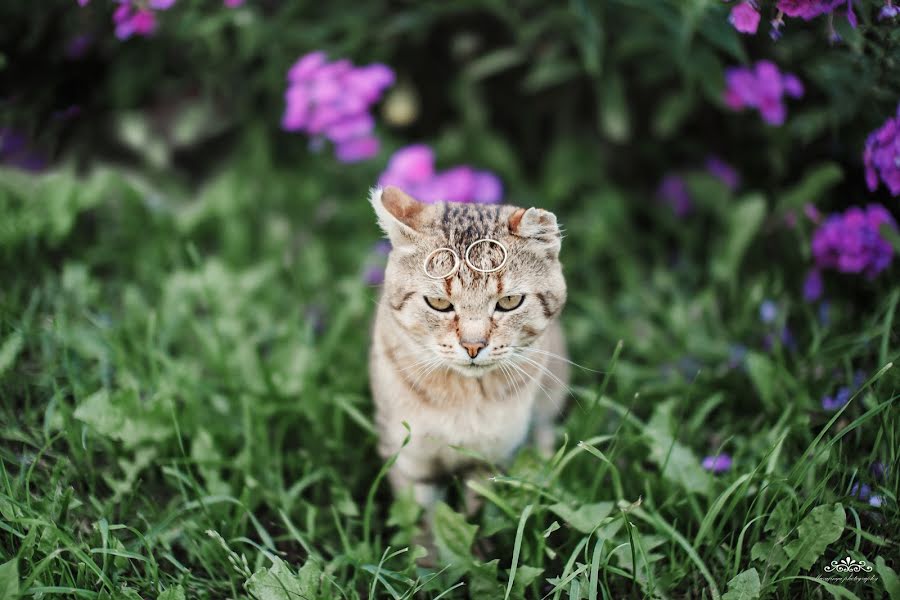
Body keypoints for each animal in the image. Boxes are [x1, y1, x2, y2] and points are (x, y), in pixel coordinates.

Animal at [368, 186, 568, 510]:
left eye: (509, 301)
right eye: (438, 302)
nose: (473, 346)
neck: (464, 394)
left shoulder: (492, 461)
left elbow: (478, 508)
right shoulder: (409, 458)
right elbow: (421, 517)